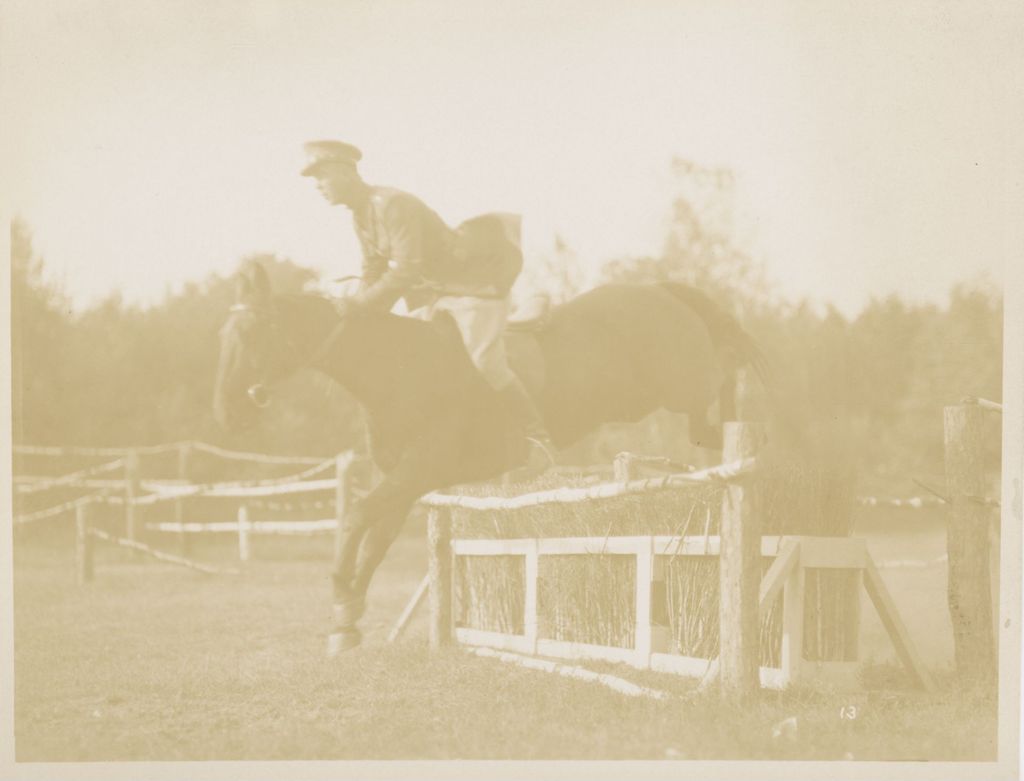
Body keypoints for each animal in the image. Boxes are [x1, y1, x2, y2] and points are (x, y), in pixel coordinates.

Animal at [211, 262, 765, 655]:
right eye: (225, 338)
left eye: (254, 335)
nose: (227, 410)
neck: (396, 369)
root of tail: (659, 290)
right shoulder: (407, 480)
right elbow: (376, 537)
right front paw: (348, 615)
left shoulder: (421, 468)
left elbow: (356, 516)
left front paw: (339, 594)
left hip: (674, 384)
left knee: (722, 376)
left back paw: (738, 419)